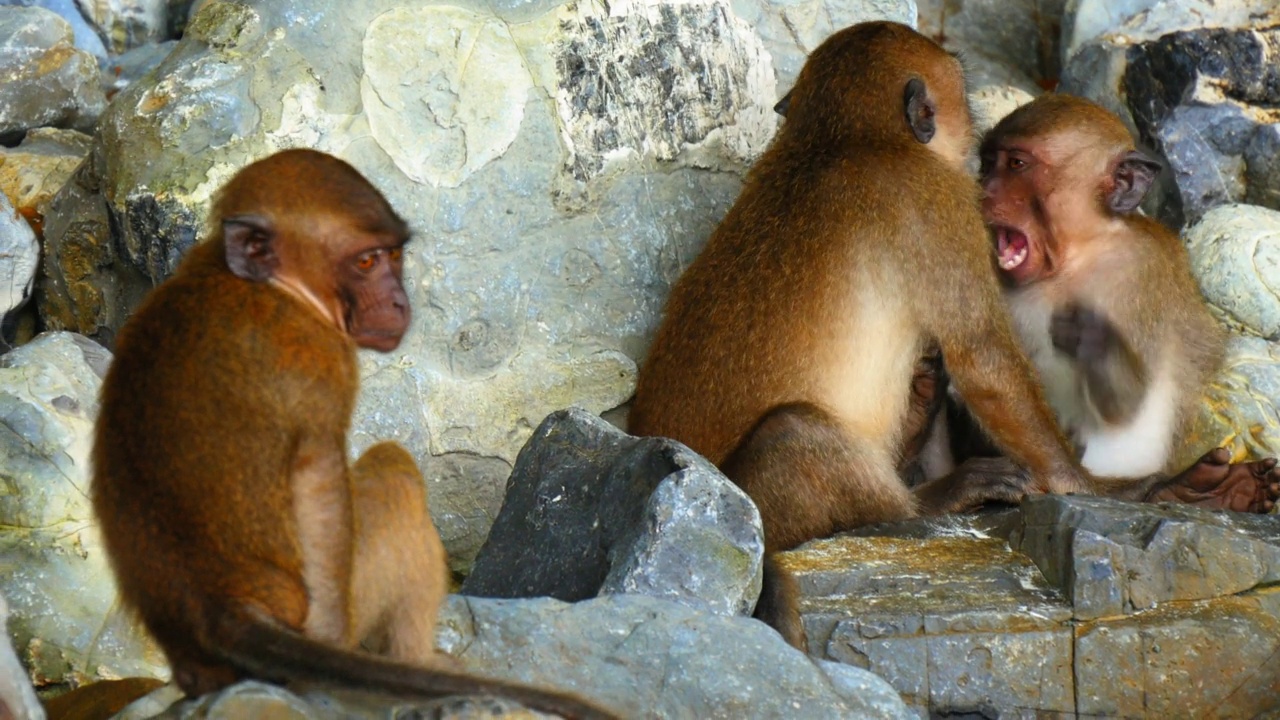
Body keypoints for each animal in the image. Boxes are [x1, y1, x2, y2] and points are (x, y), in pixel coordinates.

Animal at [88, 147, 614, 717]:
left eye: (393, 255)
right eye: (366, 261)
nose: (400, 302)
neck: (261, 285)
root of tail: (226, 610)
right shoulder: (324, 361)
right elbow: (321, 492)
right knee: (392, 472)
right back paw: (415, 658)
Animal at [629, 19, 1121, 640]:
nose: (975, 144)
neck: (842, 137)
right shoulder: (941, 204)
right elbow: (983, 358)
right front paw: (1076, 479)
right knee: (793, 432)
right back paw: (923, 503)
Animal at [962, 92, 1274, 512]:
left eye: (1016, 165)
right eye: (987, 163)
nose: (982, 189)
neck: (1077, 254)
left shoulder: (1140, 275)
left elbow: (1125, 407)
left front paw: (1089, 337)